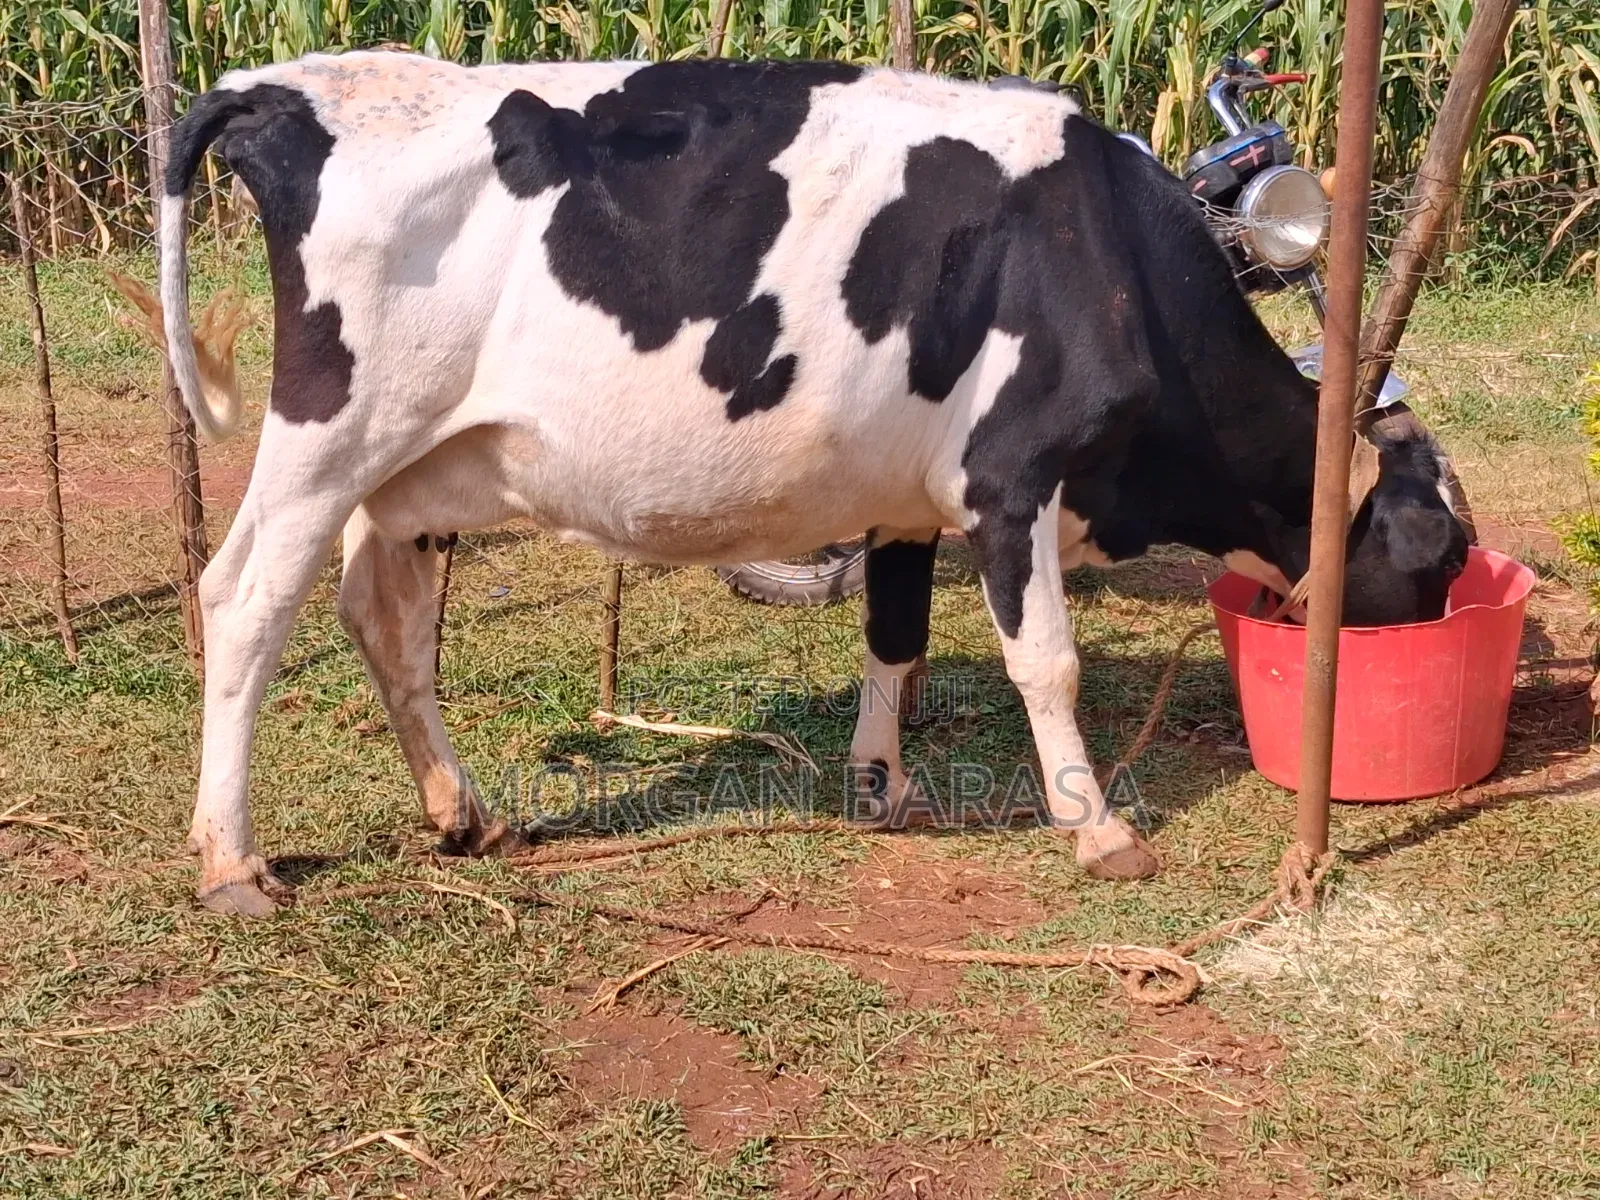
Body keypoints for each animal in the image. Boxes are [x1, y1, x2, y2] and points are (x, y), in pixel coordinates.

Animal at [153, 53, 1467, 916]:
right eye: (1443, 555)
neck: (1106, 252)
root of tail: (285, 84)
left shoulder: (906, 498)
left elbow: (895, 637)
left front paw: (879, 784)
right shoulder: (1011, 474)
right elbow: (1046, 661)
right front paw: (1096, 828)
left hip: (419, 465)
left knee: (381, 615)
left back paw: (462, 810)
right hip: (329, 431)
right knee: (244, 598)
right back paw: (230, 859)